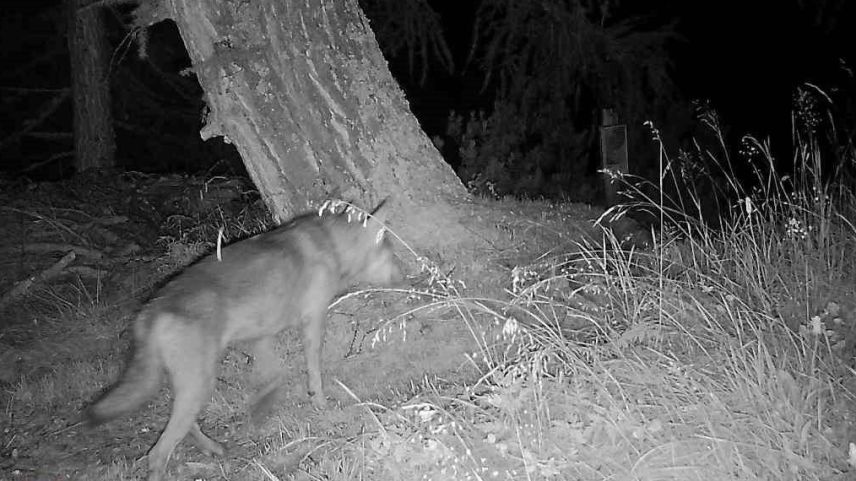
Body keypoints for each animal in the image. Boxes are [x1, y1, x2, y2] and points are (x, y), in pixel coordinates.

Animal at [85, 201, 400, 481]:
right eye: (391, 254)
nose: (405, 276)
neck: (331, 245)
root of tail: (150, 312)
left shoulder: (261, 336)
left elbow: (273, 378)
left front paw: (261, 410)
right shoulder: (312, 320)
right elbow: (314, 374)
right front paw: (320, 403)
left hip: (189, 384)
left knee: (181, 425)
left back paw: (213, 447)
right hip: (199, 384)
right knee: (158, 453)